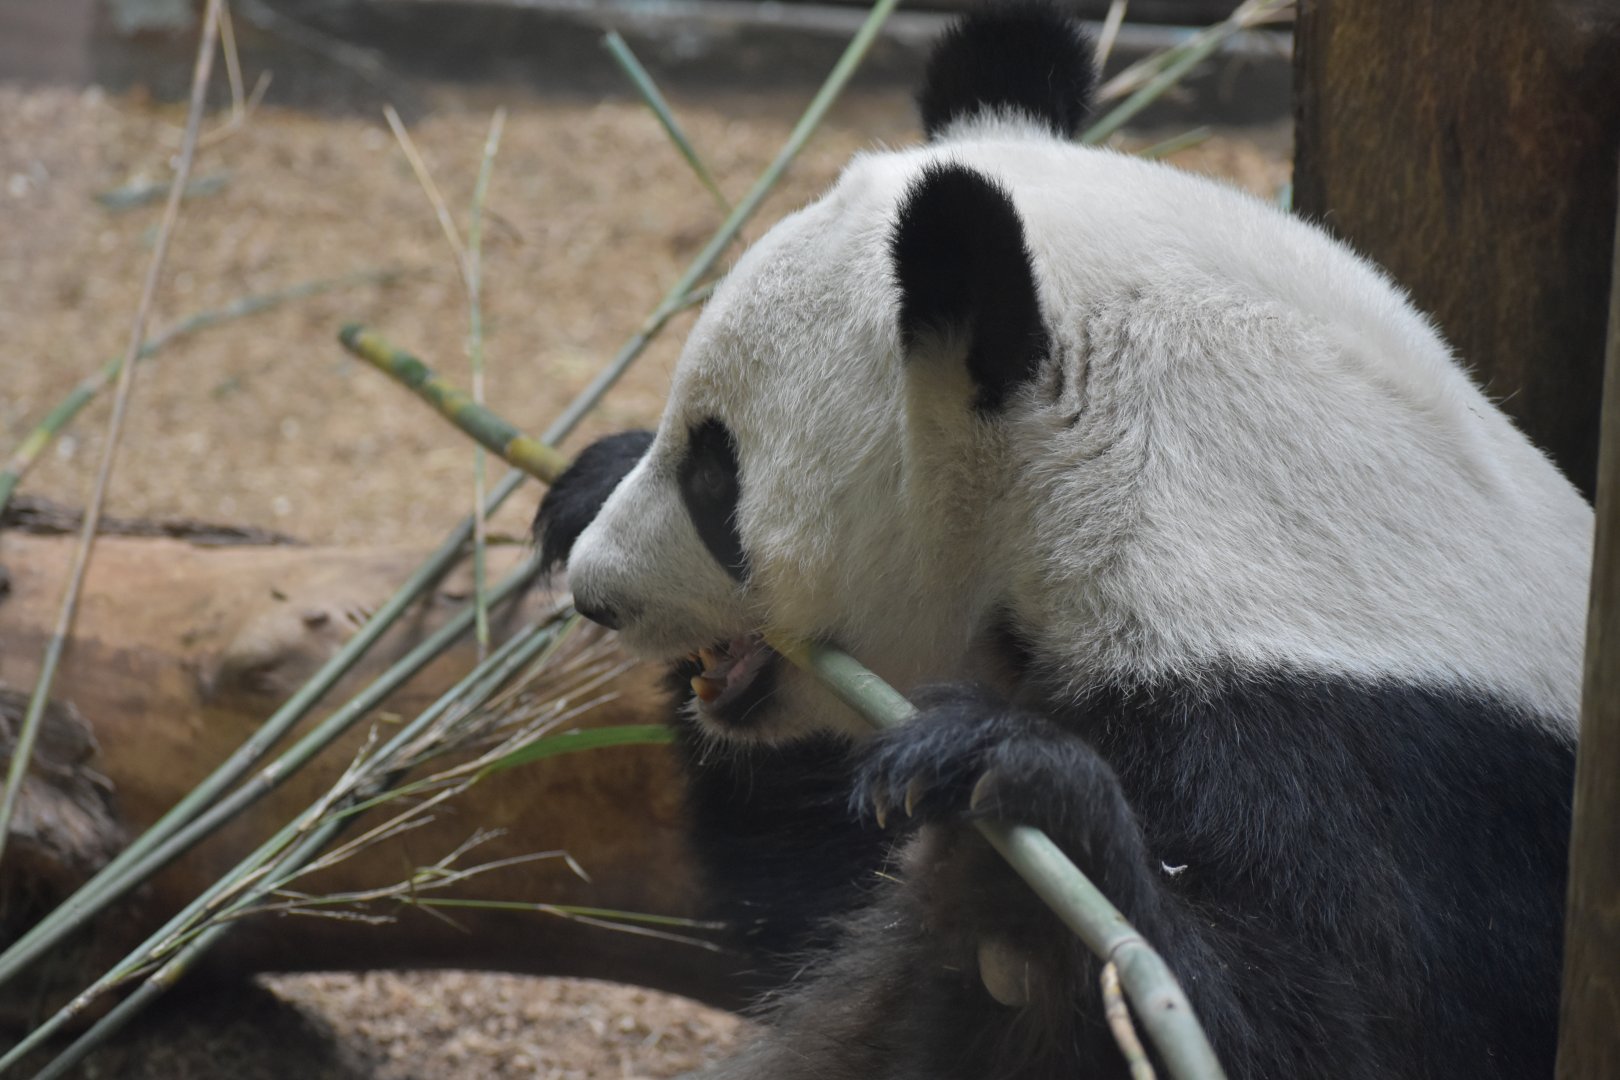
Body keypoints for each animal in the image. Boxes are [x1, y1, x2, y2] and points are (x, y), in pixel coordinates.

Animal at [536, 5, 1591, 1077]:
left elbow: (1334, 1026)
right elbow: (806, 896)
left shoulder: (1387, 767)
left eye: (717, 476)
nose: (598, 595)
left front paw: (1007, 789)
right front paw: (584, 485)